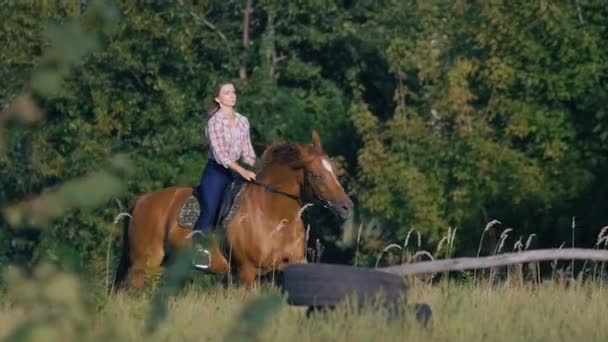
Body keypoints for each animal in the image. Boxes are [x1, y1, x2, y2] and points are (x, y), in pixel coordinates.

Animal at [112, 130, 354, 288]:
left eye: (334, 171)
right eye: (316, 175)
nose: (346, 207)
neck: (273, 216)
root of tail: (140, 201)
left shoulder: (293, 264)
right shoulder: (246, 272)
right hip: (142, 265)